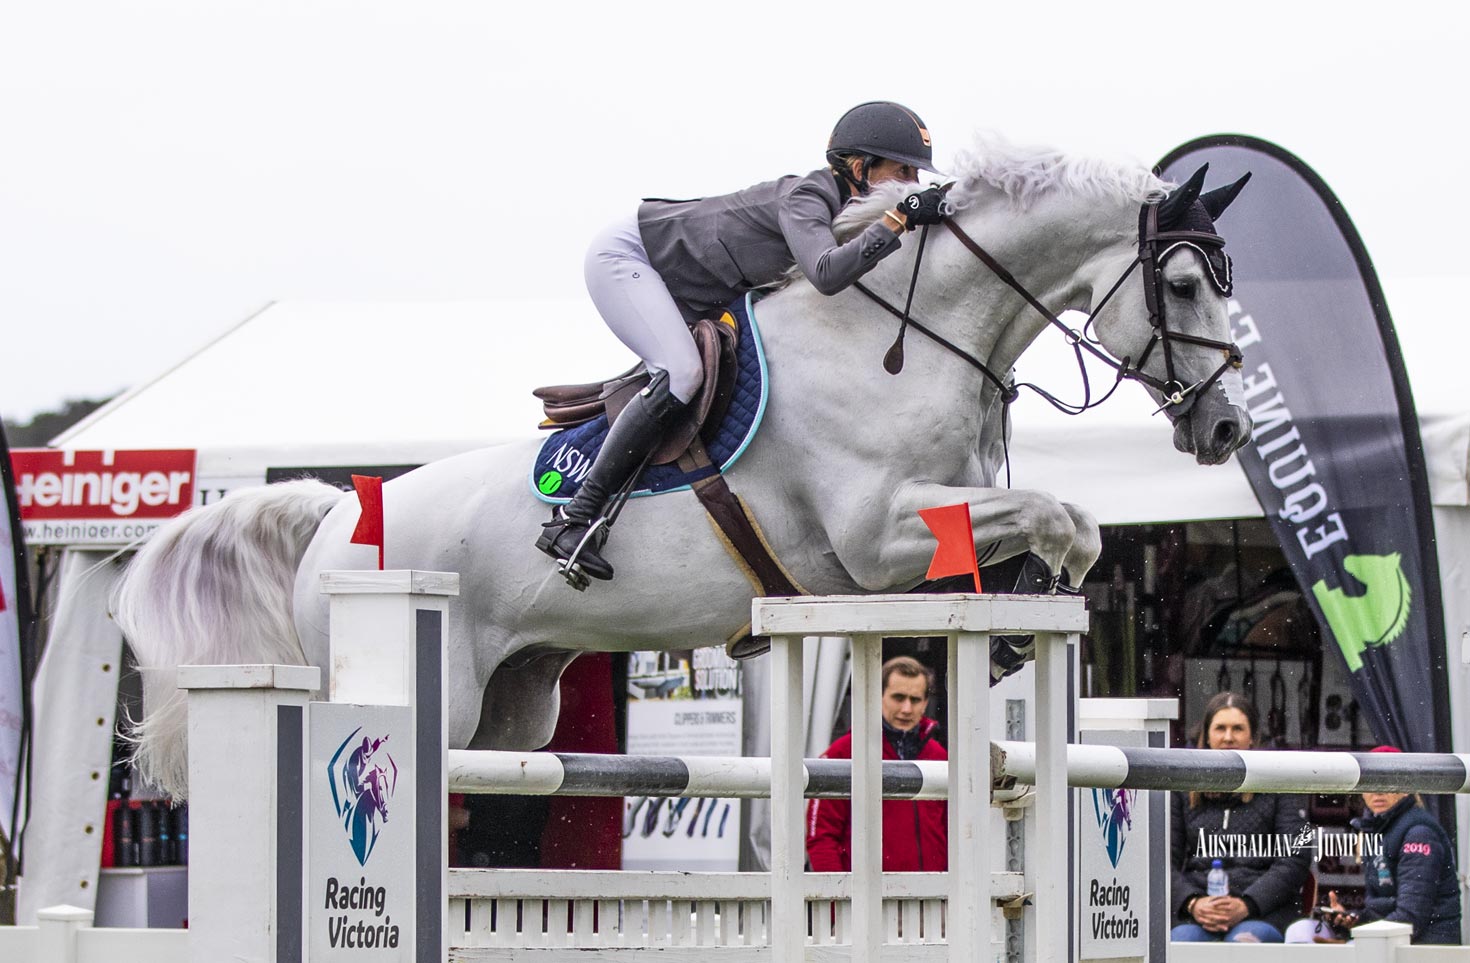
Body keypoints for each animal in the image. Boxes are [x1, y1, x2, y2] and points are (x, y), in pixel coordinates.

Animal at [114, 137, 1252, 799]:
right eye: (1183, 282)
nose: (1229, 430)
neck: (909, 335)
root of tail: (332, 519)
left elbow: (1071, 521)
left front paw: (1023, 615)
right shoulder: (877, 538)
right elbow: (1055, 514)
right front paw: (1026, 608)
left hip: (516, 706)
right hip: (430, 687)